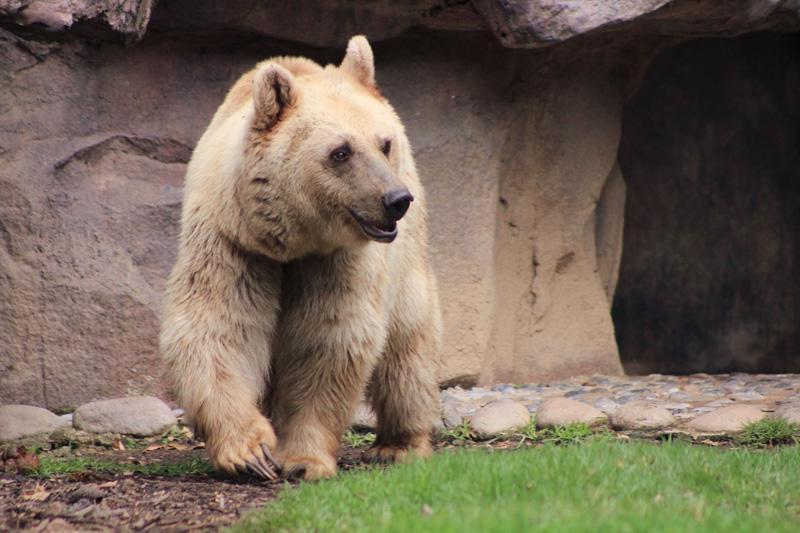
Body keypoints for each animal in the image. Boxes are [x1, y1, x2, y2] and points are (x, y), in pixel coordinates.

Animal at [160, 36, 442, 481]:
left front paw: (303, 460)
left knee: (407, 341)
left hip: (407, 254)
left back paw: (401, 444)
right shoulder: (232, 241)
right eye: (340, 152)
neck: (290, 240)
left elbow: (328, 337)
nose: (395, 200)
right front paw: (250, 452)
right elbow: (217, 325)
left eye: (384, 143)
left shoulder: (339, 258)